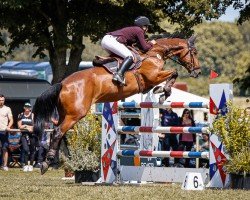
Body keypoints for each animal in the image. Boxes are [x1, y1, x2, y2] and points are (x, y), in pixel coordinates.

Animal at [32, 35, 201, 174]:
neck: (154, 53)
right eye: (194, 52)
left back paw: (53, 161)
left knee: (57, 132)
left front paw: (161, 91)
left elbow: (170, 75)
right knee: (58, 132)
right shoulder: (153, 76)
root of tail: (63, 84)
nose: (198, 72)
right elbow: (173, 72)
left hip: (64, 113)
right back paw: (47, 163)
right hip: (75, 114)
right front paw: (163, 91)